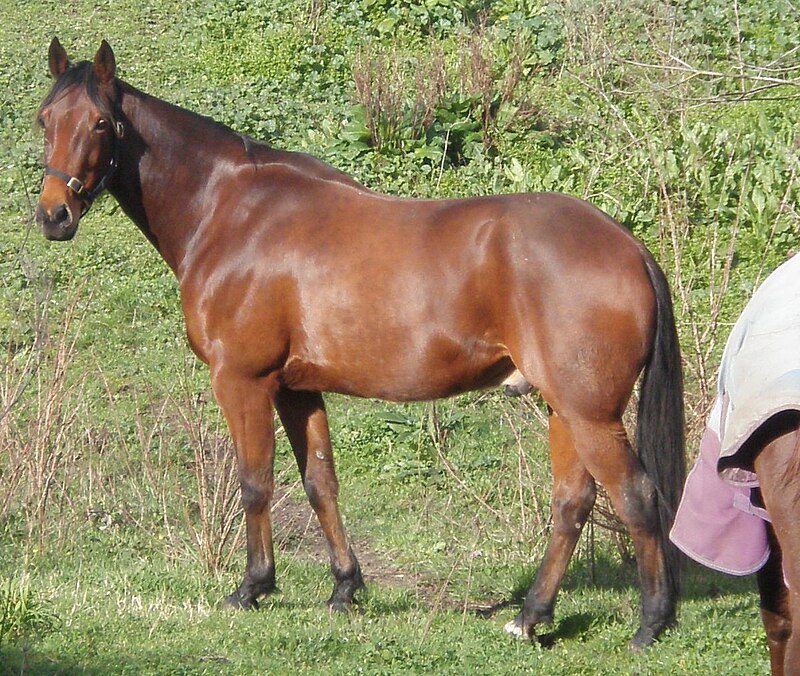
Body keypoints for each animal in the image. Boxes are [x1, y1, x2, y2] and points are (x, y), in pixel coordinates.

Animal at [34, 38, 685, 648]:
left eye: (100, 123)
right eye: (46, 119)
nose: (53, 215)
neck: (232, 213)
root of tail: (629, 248)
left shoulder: (243, 380)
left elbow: (255, 482)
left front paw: (252, 587)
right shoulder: (297, 389)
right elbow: (319, 482)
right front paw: (345, 587)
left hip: (588, 412)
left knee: (634, 495)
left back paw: (651, 623)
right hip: (564, 408)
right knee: (572, 503)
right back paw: (531, 617)